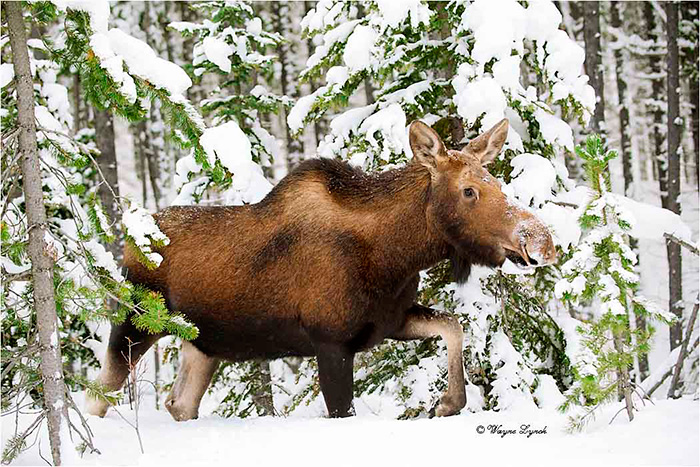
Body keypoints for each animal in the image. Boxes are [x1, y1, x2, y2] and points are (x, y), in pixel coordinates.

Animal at [86, 118, 556, 421]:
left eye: (499, 183)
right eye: (469, 190)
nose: (542, 241)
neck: (395, 256)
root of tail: (130, 238)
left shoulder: (389, 320)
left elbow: (453, 325)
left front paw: (447, 402)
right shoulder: (330, 342)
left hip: (203, 344)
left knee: (179, 404)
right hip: (134, 321)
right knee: (98, 395)